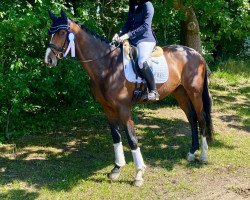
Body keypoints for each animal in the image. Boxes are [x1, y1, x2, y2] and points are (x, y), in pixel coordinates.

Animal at [44, 10, 213, 187]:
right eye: (50, 32)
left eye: (62, 32)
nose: (48, 59)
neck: (108, 66)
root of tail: (195, 53)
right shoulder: (107, 108)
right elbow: (116, 136)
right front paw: (117, 168)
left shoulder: (123, 108)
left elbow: (132, 139)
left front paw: (138, 174)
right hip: (180, 93)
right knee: (192, 118)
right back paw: (191, 153)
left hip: (194, 92)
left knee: (201, 117)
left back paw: (203, 156)